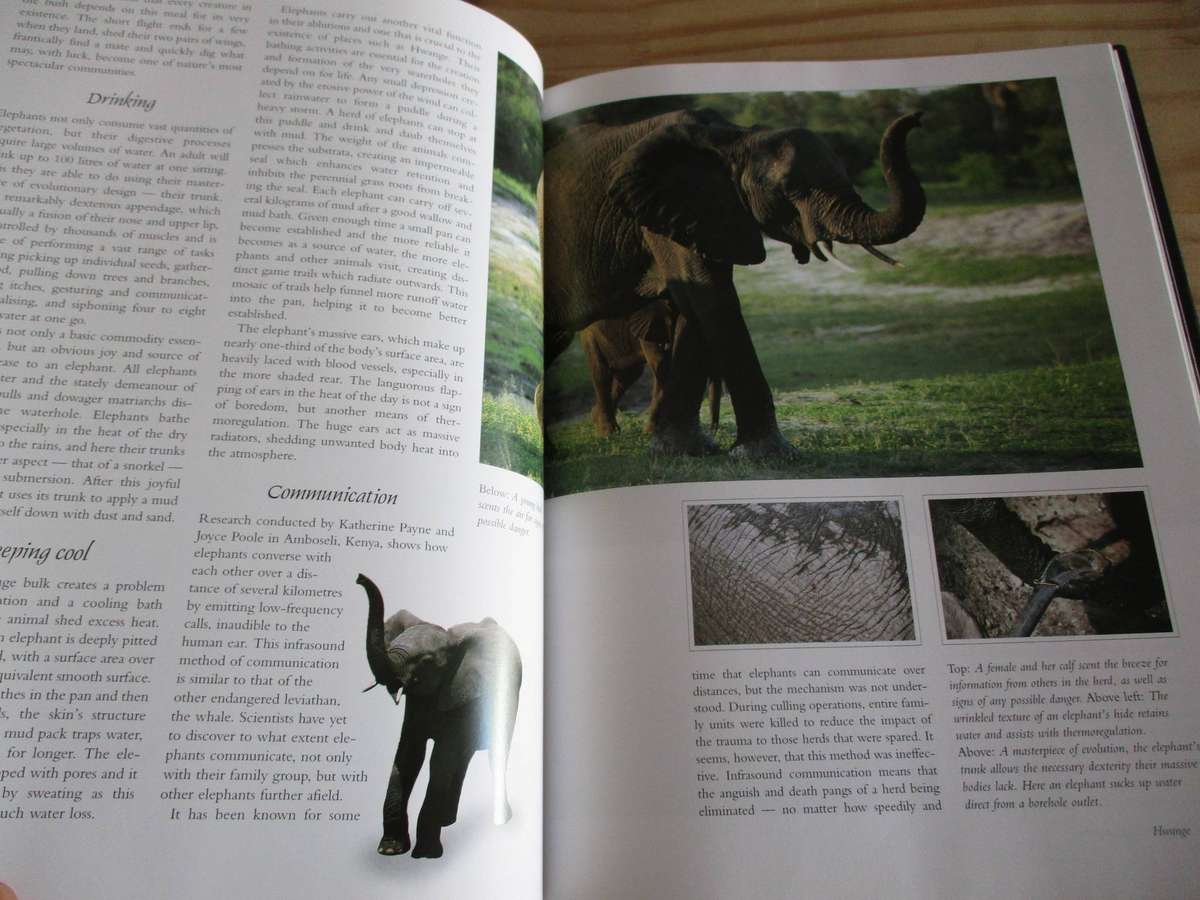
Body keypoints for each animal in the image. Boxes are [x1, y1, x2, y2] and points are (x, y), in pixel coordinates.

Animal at [357, 573, 521, 858]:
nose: (358, 577)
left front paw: (425, 855)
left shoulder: (461, 694)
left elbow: (439, 759)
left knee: (493, 754)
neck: (451, 640)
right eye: (392, 645)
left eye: (426, 662)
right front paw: (390, 850)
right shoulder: (416, 703)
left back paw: (501, 818)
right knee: (463, 758)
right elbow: (408, 755)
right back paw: (448, 821)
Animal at [580, 298, 722, 436]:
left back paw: (596, 418)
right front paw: (651, 433)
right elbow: (661, 365)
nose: (712, 432)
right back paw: (607, 433)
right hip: (590, 332)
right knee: (601, 372)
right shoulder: (649, 323)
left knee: (629, 375)